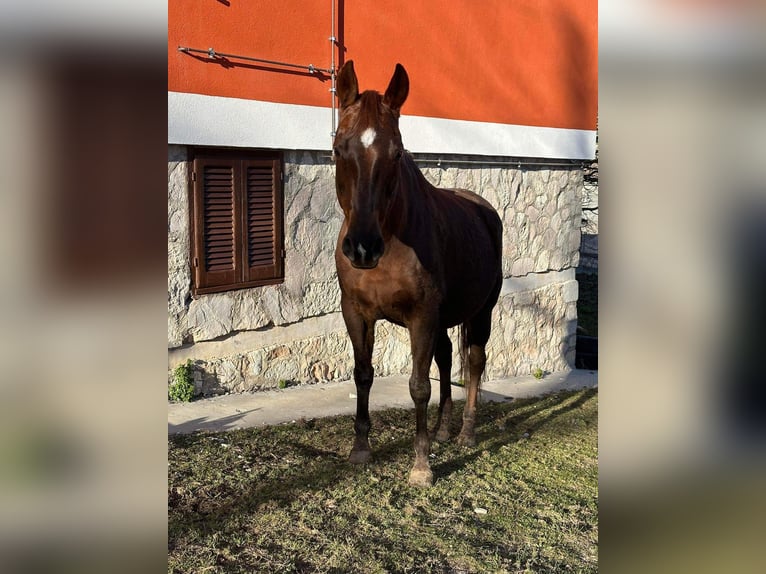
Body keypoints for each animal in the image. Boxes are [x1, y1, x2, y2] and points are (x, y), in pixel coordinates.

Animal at [334, 62, 504, 486]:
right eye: (339, 148)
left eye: (396, 154)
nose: (362, 248)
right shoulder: (356, 313)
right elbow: (363, 374)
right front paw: (360, 449)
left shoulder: (422, 317)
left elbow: (418, 386)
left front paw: (422, 465)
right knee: (445, 358)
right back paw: (443, 430)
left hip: (482, 313)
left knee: (474, 362)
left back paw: (465, 433)